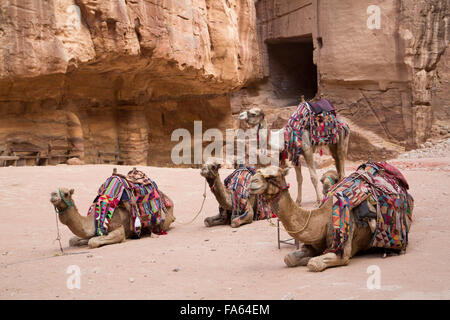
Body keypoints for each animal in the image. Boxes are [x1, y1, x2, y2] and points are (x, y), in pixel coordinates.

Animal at [248, 166, 414, 272]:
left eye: (272, 176)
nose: (252, 182)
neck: (322, 219)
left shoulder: (344, 249)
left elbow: (314, 263)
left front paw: (310, 260)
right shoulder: (311, 243)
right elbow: (289, 258)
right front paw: (303, 259)